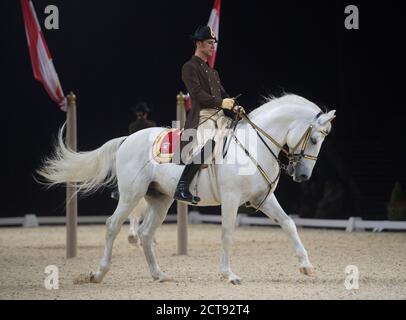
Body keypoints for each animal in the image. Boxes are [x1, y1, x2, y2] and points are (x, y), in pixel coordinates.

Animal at [38, 94, 336, 284]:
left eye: (322, 141)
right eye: (315, 139)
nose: (303, 175)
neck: (253, 145)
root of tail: (127, 139)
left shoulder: (264, 198)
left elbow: (289, 224)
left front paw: (307, 267)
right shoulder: (231, 199)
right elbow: (227, 233)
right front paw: (229, 274)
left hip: (159, 199)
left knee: (146, 233)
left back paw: (158, 274)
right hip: (132, 194)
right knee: (113, 225)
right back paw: (98, 274)